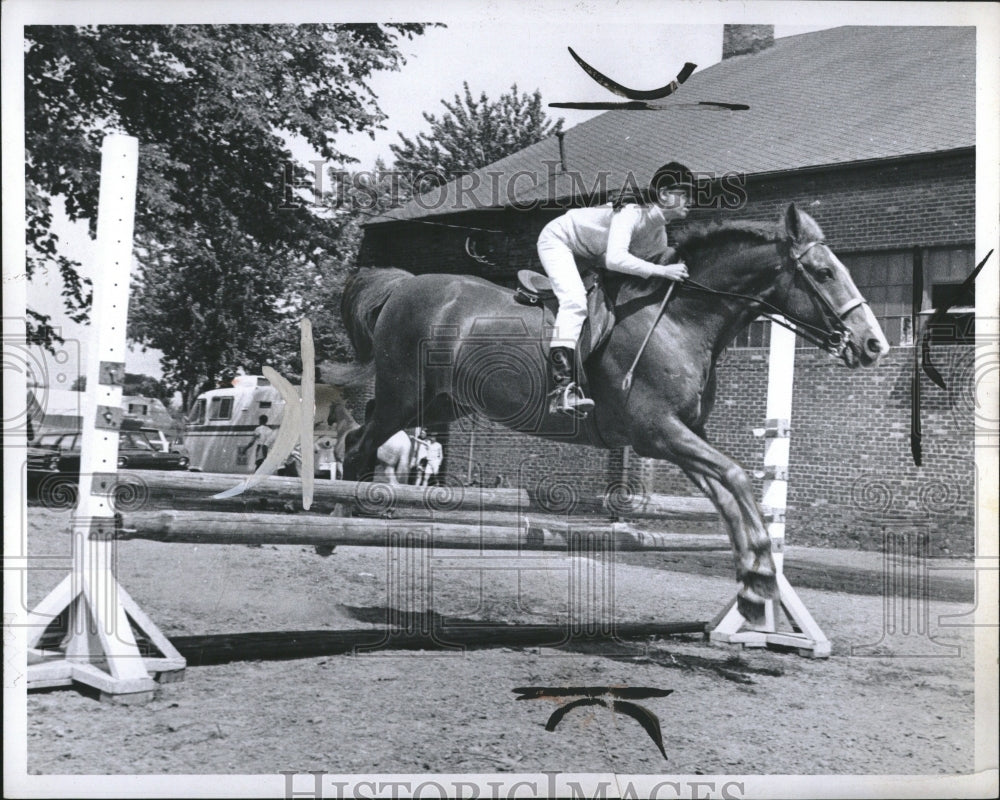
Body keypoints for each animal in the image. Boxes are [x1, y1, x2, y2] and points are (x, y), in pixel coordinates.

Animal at [330, 203, 892, 620]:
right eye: (823, 272)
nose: (873, 345)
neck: (684, 320)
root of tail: (403, 285)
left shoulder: (678, 436)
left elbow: (729, 493)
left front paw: (755, 586)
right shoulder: (658, 430)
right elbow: (734, 475)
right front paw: (758, 582)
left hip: (433, 400)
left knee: (358, 436)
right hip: (407, 394)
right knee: (359, 443)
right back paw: (340, 522)